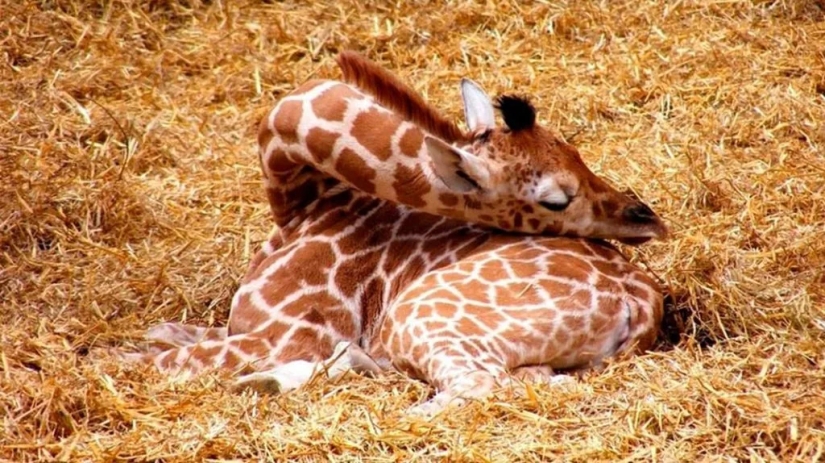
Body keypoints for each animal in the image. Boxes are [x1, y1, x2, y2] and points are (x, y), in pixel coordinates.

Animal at [124, 52, 668, 410]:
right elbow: (156, 336)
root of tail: (641, 301)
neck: (302, 200)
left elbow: (134, 362)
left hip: (419, 315)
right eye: (557, 197)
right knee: (534, 378)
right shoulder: (244, 327)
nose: (647, 218)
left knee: (479, 386)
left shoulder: (289, 334)